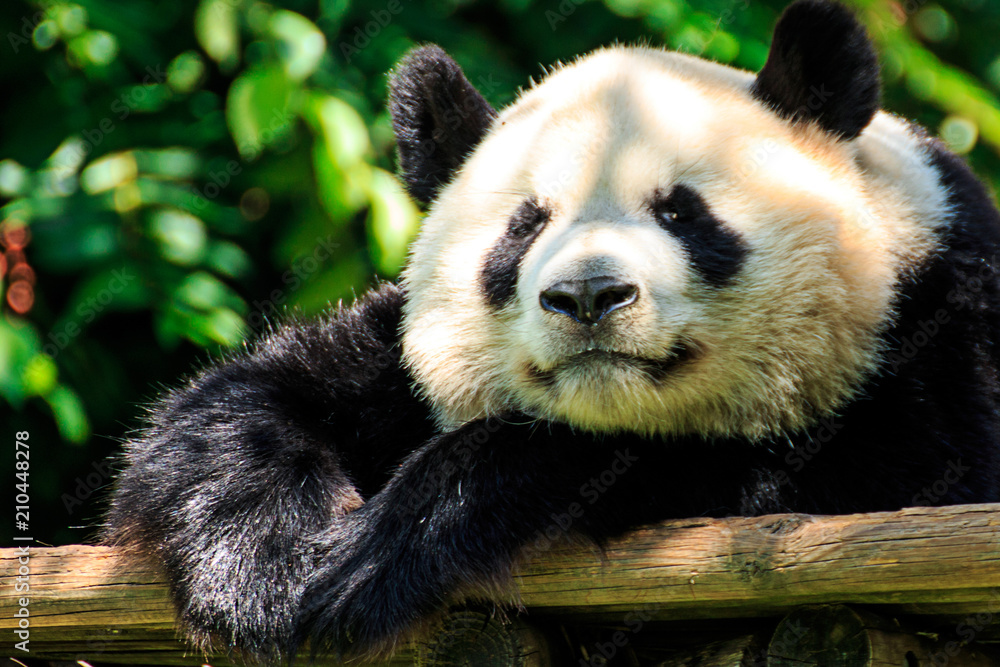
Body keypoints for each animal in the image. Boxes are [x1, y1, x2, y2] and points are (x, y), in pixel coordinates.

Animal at [105, 0, 1000, 661]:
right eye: (525, 227)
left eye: (680, 212)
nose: (587, 294)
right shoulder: (392, 358)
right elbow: (233, 407)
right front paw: (260, 562)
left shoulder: (939, 326)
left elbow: (861, 477)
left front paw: (399, 539)